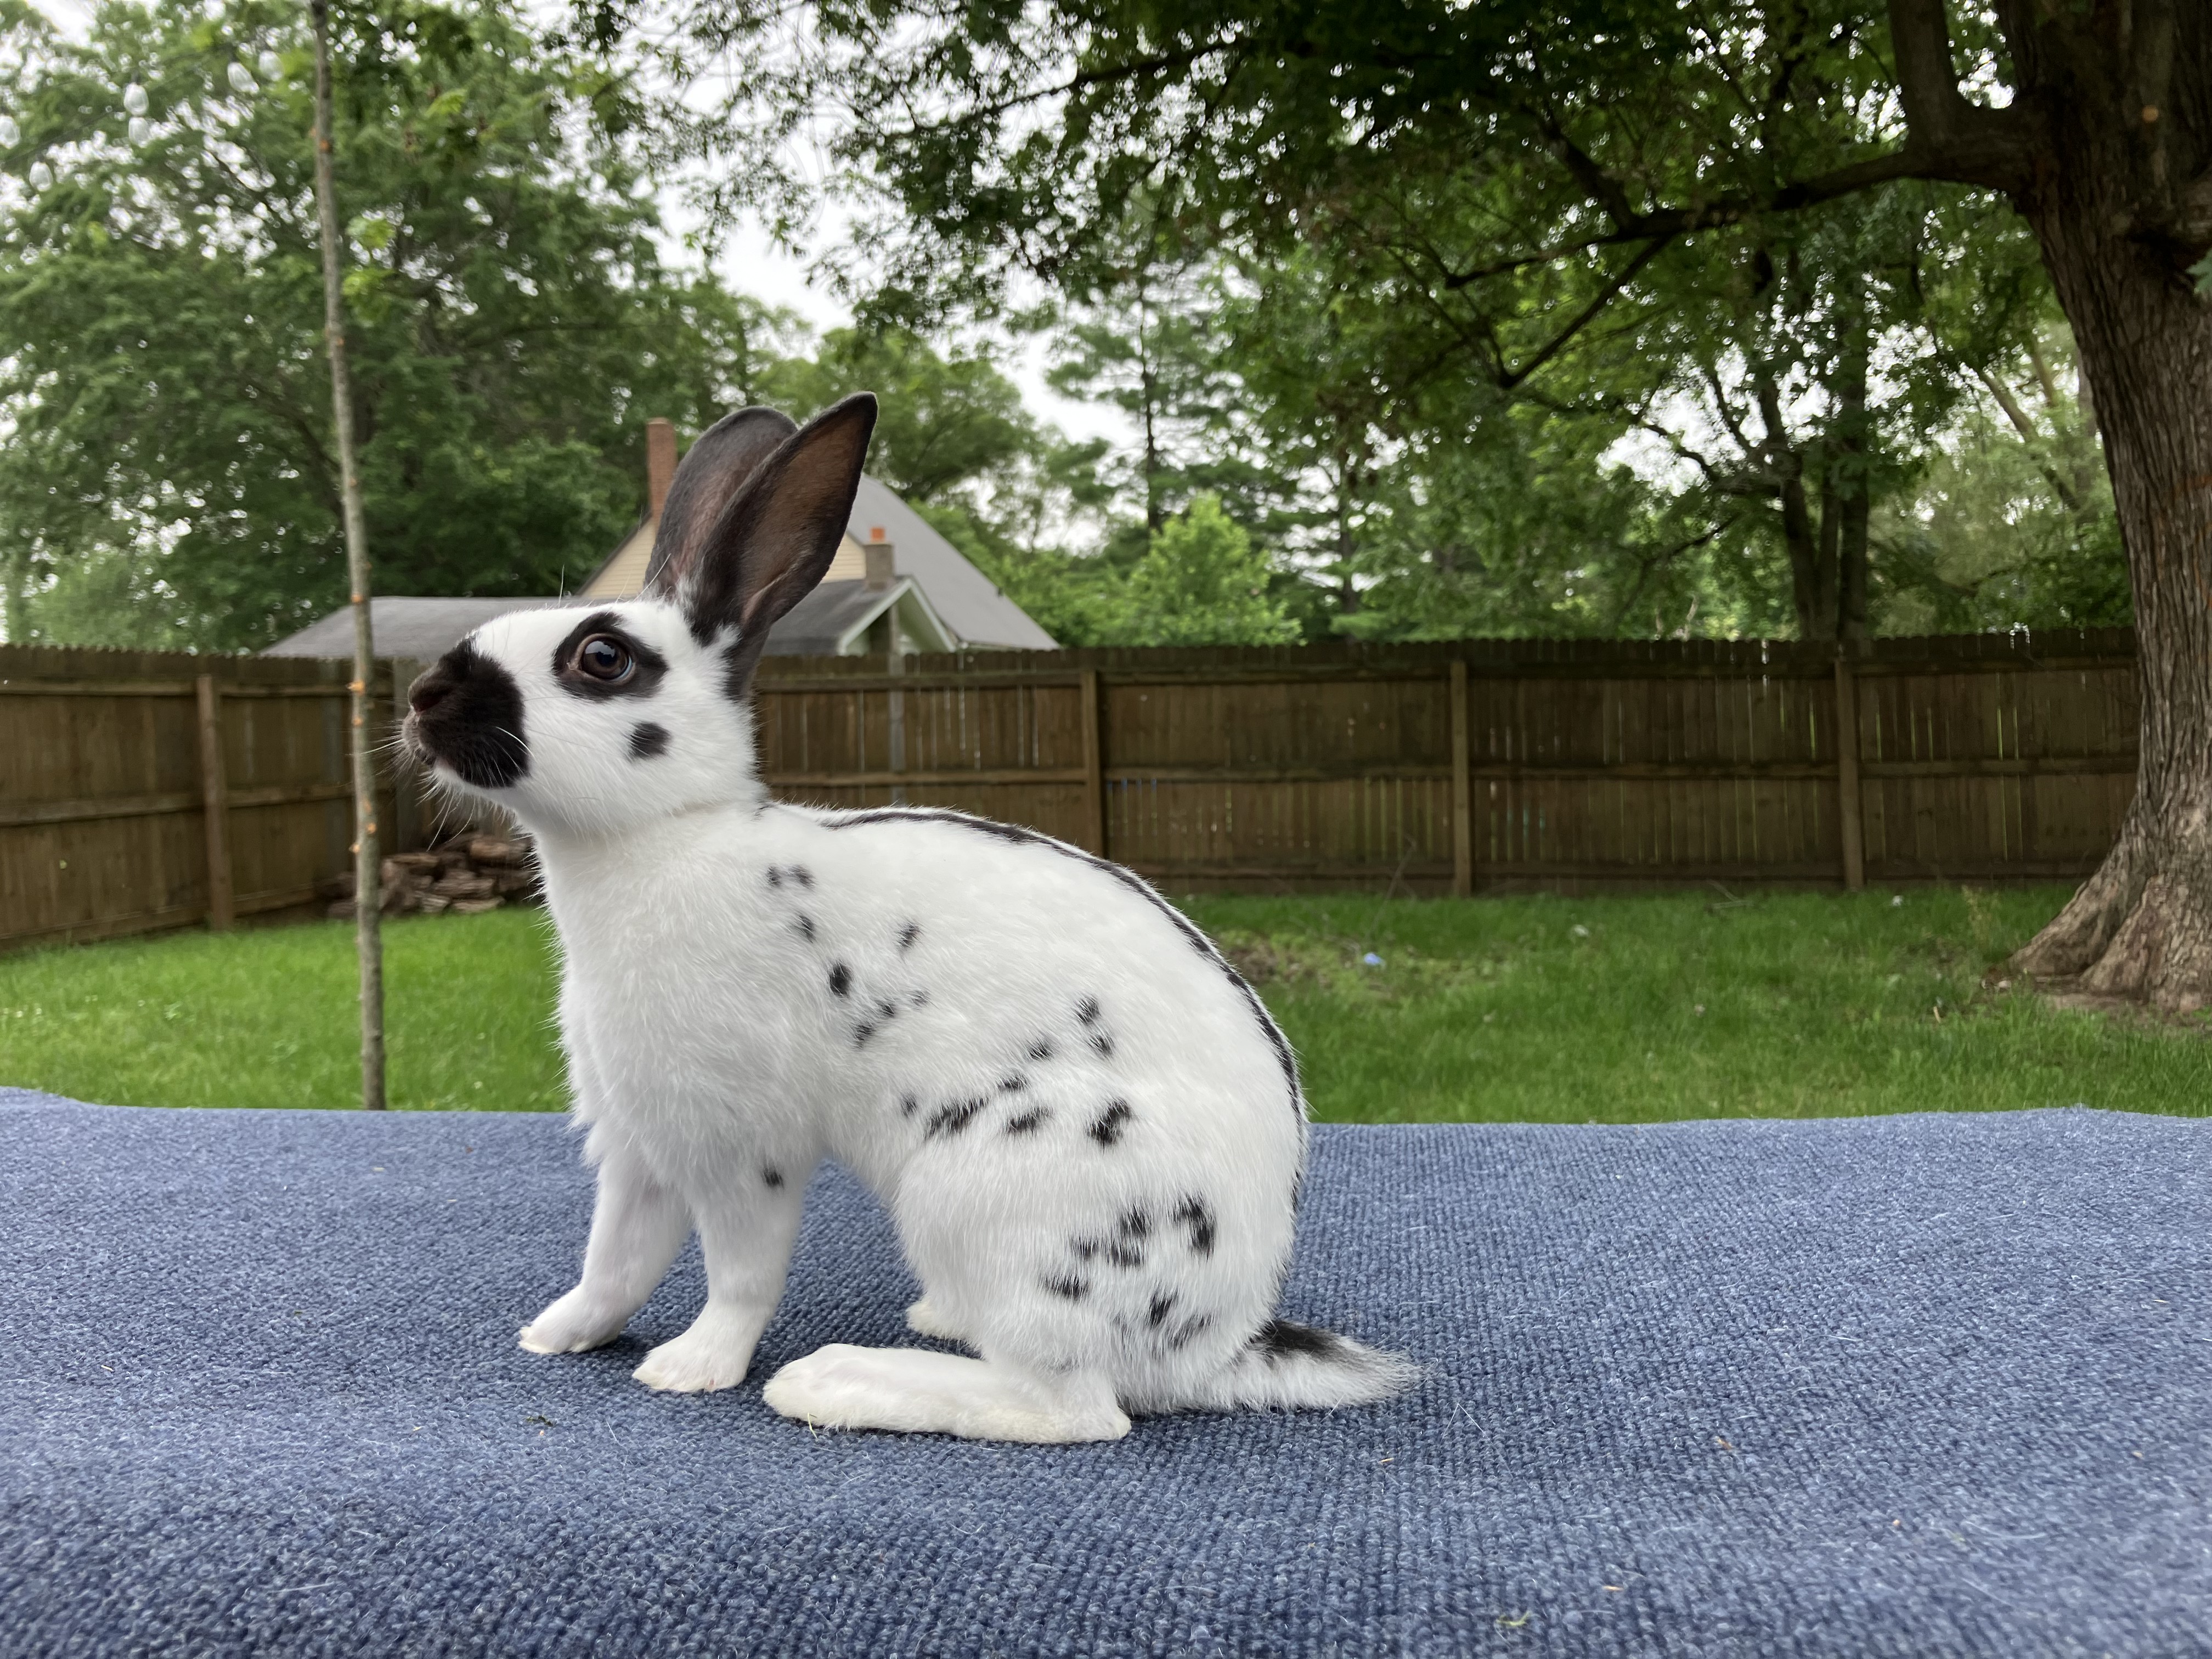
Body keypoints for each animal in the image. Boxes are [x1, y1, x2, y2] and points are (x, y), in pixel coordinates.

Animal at [401, 393, 1415, 1442]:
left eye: (602, 657)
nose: (423, 696)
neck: (664, 834)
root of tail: (1216, 1342)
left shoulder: (740, 1146)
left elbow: (740, 1272)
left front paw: (691, 1368)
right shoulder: (634, 1139)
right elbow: (617, 1255)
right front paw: (557, 1334)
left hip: (982, 1192)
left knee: (1071, 1408)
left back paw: (832, 1380)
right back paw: (930, 1322)